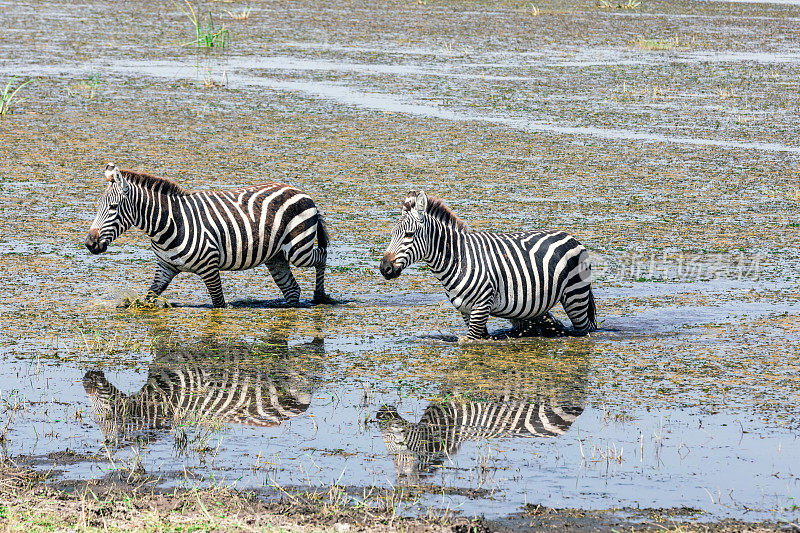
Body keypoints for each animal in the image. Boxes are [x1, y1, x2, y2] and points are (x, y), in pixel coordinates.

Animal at [86, 164, 336, 310]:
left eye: (113, 208)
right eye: (97, 207)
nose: (90, 243)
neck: (170, 223)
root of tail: (302, 192)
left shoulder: (210, 267)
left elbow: (219, 304)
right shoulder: (165, 267)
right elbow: (149, 296)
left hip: (298, 249)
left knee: (322, 256)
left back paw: (320, 296)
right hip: (275, 256)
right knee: (292, 288)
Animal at [380, 191, 592, 338]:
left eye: (409, 235)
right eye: (391, 234)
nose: (384, 268)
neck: (459, 259)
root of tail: (571, 237)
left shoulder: (481, 306)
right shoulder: (466, 311)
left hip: (576, 297)